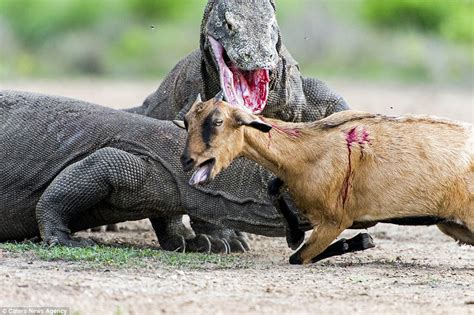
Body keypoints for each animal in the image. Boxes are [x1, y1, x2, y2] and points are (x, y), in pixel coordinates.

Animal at [179, 98, 474, 264]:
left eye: (217, 121)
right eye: (187, 121)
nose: (186, 160)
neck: (310, 149)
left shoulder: (335, 220)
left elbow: (298, 258)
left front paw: (359, 241)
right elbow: (274, 187)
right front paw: (294, 234)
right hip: (451, 224)